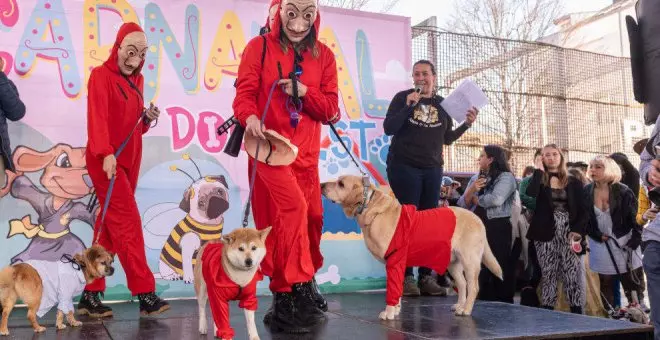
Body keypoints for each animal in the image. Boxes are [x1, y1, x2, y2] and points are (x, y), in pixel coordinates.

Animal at [320, 175, 500, 318]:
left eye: (341, 184)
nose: (321, 185)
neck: (369, 206)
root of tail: (477, 219)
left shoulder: (394, 261)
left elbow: (392, 290)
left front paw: (389, 312)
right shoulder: (395, 264)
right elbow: (397, 289)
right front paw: (396, 310)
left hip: (470, 261)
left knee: (473, 287)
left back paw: (466, 310)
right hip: (453, 263)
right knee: (462, 284)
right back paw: (460, 306)